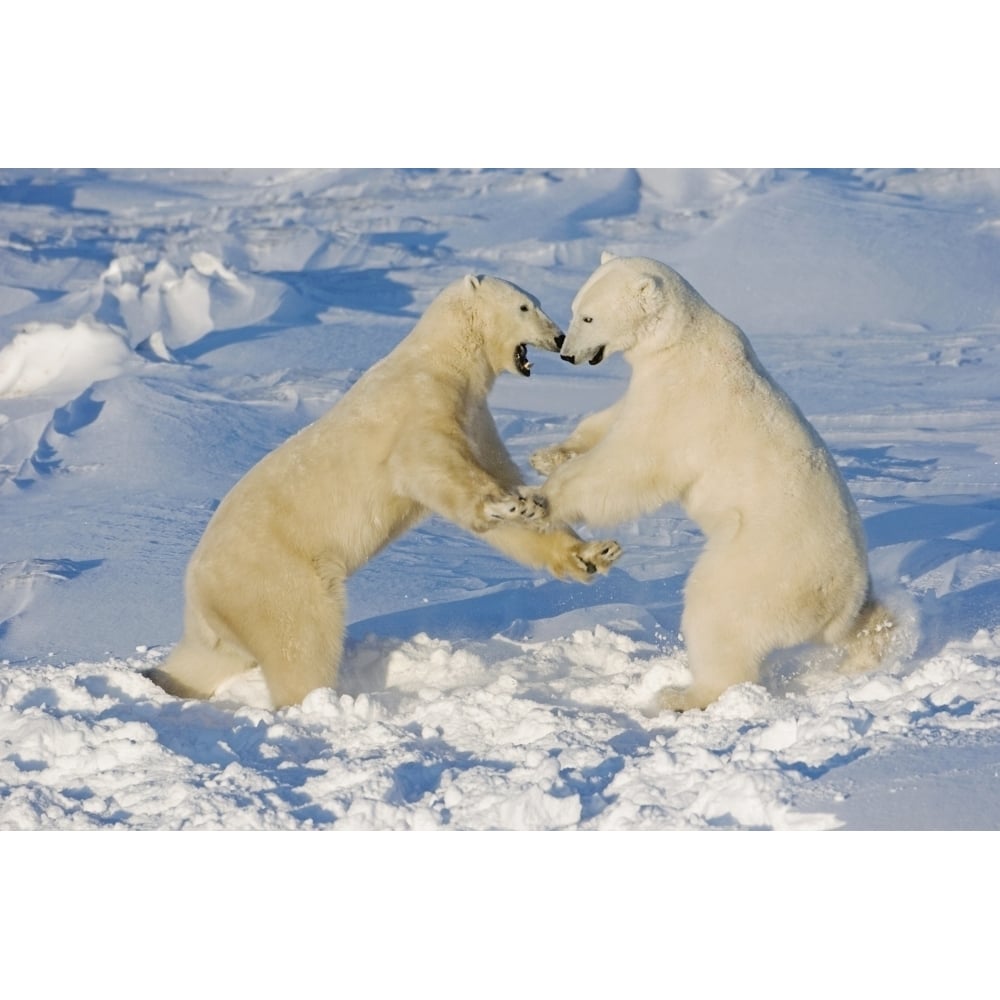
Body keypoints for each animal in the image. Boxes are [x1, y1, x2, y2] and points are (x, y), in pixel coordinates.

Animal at [148, 274, 620, 708]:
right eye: (525, 306)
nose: (559, 337)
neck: (442, 361)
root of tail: (197, 592)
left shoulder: (476, 419)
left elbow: (503, 482)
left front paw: (591, 552)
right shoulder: (420, 406)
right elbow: (433, 467)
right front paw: (506, 505)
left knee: (206, 660)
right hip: (276, 578)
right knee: (300, 639)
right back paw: (318, 702)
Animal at [532, 254, 900, 716]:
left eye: (588, 316)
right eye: (575, 308)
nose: (567, 354)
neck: (683, 341)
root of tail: (841, 602)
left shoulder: (682, 402)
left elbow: (632, 463)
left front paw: (541, 499)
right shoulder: (652, 386)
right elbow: (612, 419)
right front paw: (547, 455)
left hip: (759, 567)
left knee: (717, 615)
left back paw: (682, 694)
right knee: (868, 623)